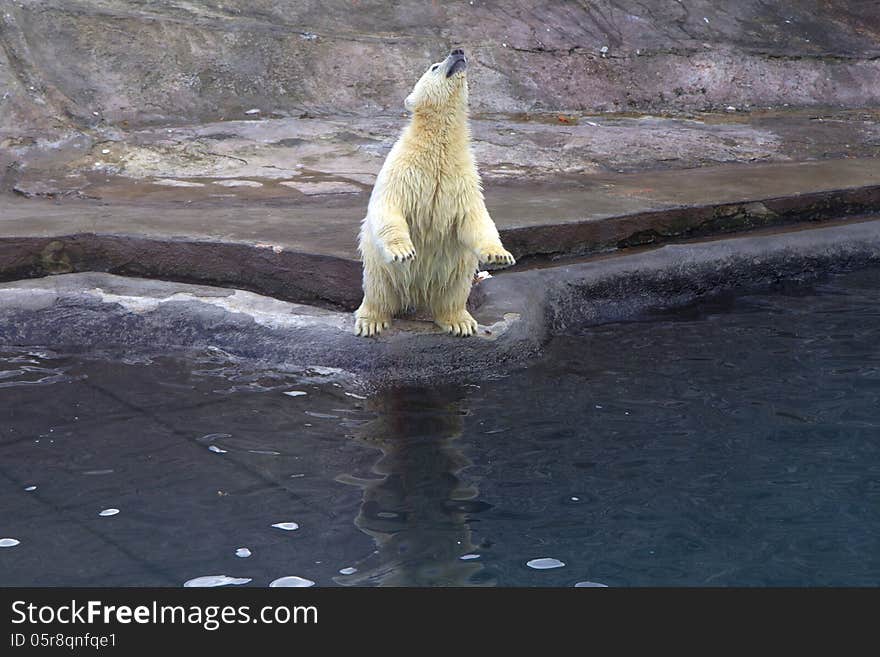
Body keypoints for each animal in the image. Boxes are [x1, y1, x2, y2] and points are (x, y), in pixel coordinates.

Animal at [354, 48, 512, 336]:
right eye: (434, 66)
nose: (458, 50)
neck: (439, 148)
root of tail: (417, 298)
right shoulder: (403, 169)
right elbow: (389, 207)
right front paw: (403, 251)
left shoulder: (462, 180)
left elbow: (476, 218)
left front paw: (499, 255)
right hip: (380, 269)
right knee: (378, 290)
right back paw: (371, 321)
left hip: (454, 273)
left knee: (453, 293)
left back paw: (460, 322)